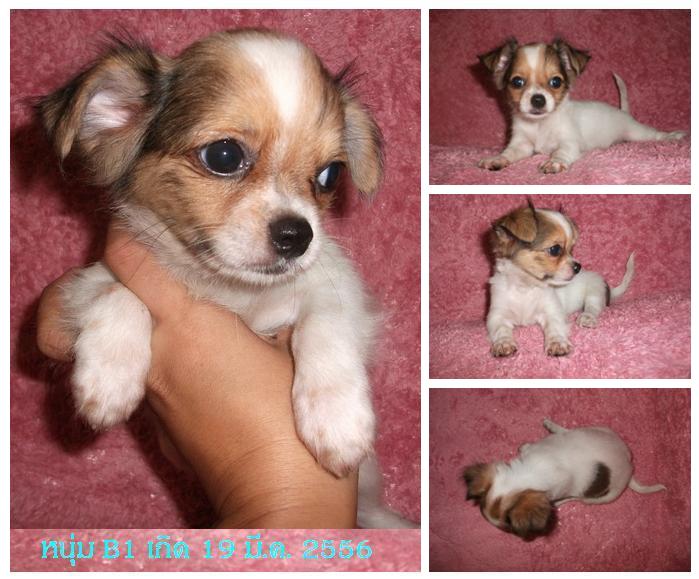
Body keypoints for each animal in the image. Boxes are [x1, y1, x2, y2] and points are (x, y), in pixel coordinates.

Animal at [39, 29, 415, 528]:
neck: (234, 292)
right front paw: (108, 378)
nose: (298, 235)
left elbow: (324, 323)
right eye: (223, 155)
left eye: (329, 174)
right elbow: (120, 293)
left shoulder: (339, 287)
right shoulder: (82, 282)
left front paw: (336, 418)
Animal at [464, 418, 666, 540]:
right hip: (603, 430)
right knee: (571, 432)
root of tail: (630, 467)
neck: (526, 476)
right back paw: (554, 427)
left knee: (576, 498)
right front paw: (524, 447)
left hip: (599, 498)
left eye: (510, 528)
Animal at [477, 38, 686, 173]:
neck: (540, 125)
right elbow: (509, 152)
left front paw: (554, 162)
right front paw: (497, 159)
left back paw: (672, 136)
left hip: (637, 133)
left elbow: (561, 152)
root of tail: (622, 112)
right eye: (517, 82)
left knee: (654, 135)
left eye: (555, 82)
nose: (538, 99)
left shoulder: (570, 143)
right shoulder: (521, 144)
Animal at [487, 201, 634, 357]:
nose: (578, 267)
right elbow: (500, 329)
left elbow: (555, 327)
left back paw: (587, 318)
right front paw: (503, 343)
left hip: (595, 291)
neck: (526, 287)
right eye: (555, 250)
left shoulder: (552, 312)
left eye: (572, 249)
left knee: (593, 307)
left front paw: (557, 343)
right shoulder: (496, 315)